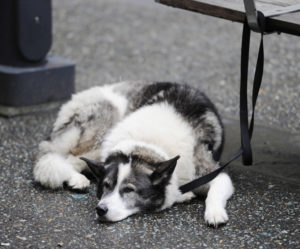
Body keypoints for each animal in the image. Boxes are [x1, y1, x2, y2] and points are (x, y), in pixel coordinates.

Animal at [33, 81, 234, 226]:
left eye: (129, 190)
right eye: (106, 185)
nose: (101, 210)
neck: (146, 143)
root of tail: (72, 101)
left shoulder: (213, 171)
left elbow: (215, 190)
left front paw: (214, 212)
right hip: (101, 132)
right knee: (62, 158)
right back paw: (76, 179)